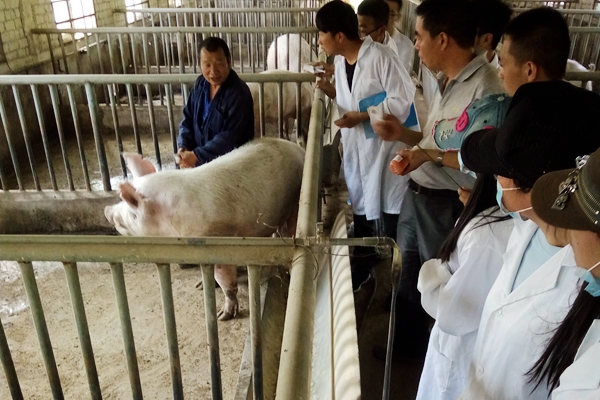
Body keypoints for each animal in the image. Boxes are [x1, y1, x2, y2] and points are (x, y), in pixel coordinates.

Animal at [105, 138, 305, 320]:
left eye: (131, 212)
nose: (107, 210)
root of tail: (297, 148)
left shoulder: (217, 241)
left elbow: (225, 282)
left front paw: (223, 316)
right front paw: (200, 285)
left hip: (296, 201)